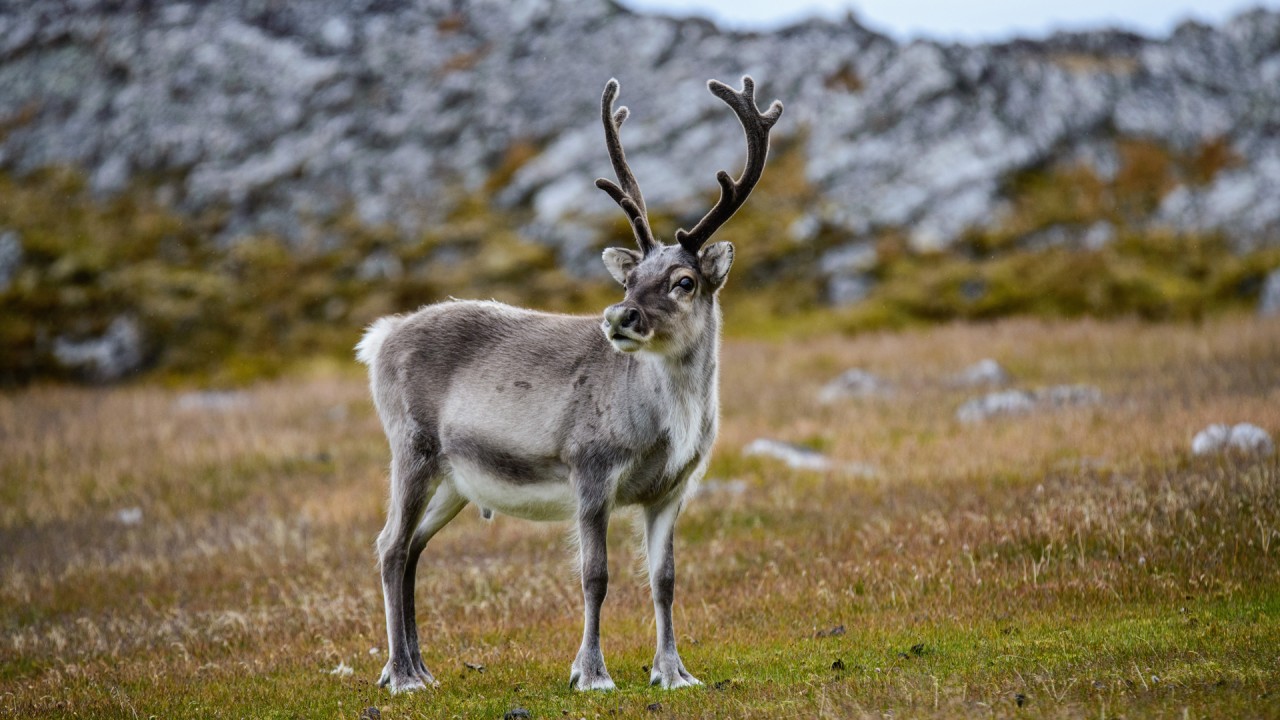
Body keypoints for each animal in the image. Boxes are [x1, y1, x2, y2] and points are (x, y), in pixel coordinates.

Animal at [355, 76, 783, 694]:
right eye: (630, 278)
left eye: (684, 280)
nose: (619, 316)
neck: (665, 426)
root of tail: (379, 338)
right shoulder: (590, 469)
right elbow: (594, 575)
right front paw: (592, 672)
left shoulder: (672, 490)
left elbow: (665, 580)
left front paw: (674, 671)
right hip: (411, 447)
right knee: (389, 545)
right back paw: (401, 675)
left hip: (455, 480)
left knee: (412, 547)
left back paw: (419, 667)